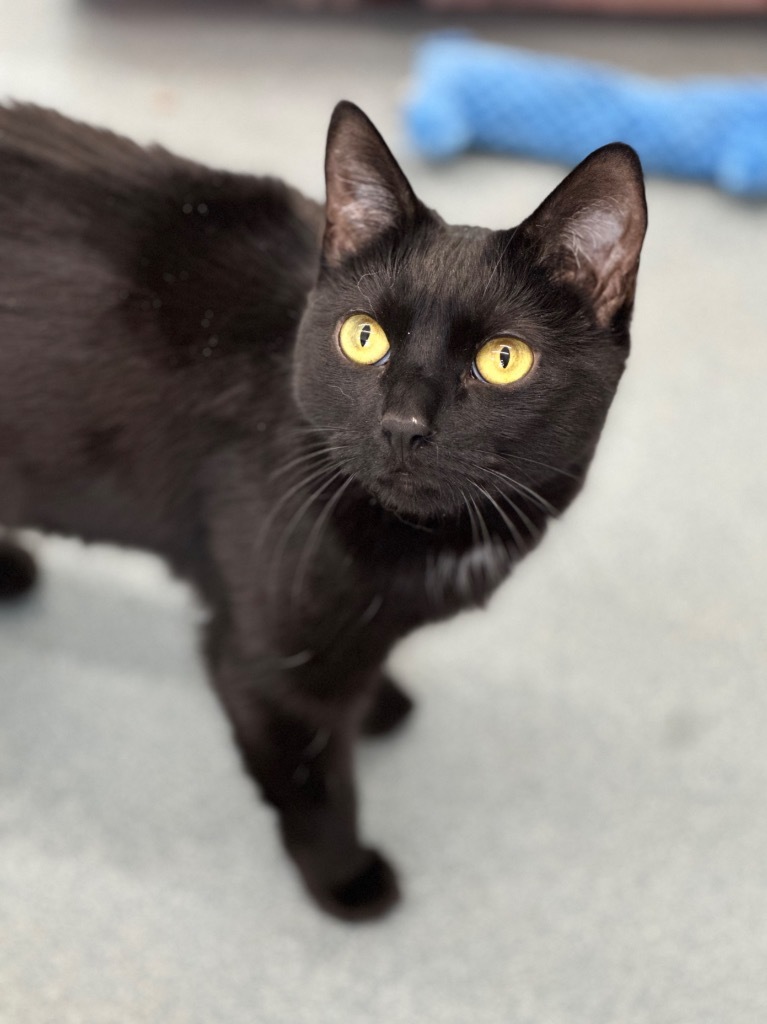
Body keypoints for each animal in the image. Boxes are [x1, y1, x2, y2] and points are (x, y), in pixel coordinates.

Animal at [0, 101, 647, 921]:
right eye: (363, 338)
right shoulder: (265, 666)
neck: (430, 537)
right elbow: (313, 782)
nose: (402, 425)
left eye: (504, 359)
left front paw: (377, 703)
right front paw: (345, 878)